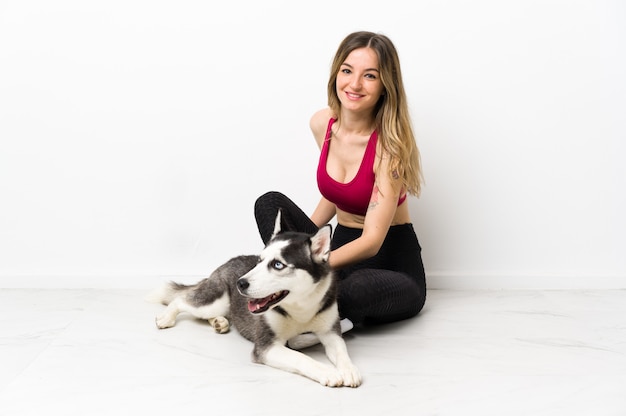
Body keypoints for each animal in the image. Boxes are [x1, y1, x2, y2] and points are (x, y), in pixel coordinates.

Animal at [147, 213, 360, 388]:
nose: (240, 283)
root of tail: (227, 262)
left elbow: (341, 350)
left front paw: (348, 369)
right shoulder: (266, 346)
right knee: (182, 300)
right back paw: (167, 318)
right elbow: (300, 356)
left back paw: (219, 322)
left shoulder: (330, 332)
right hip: (215, 300)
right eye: (260, 261)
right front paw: (328, 372)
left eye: (278, 265)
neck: (300, 308)